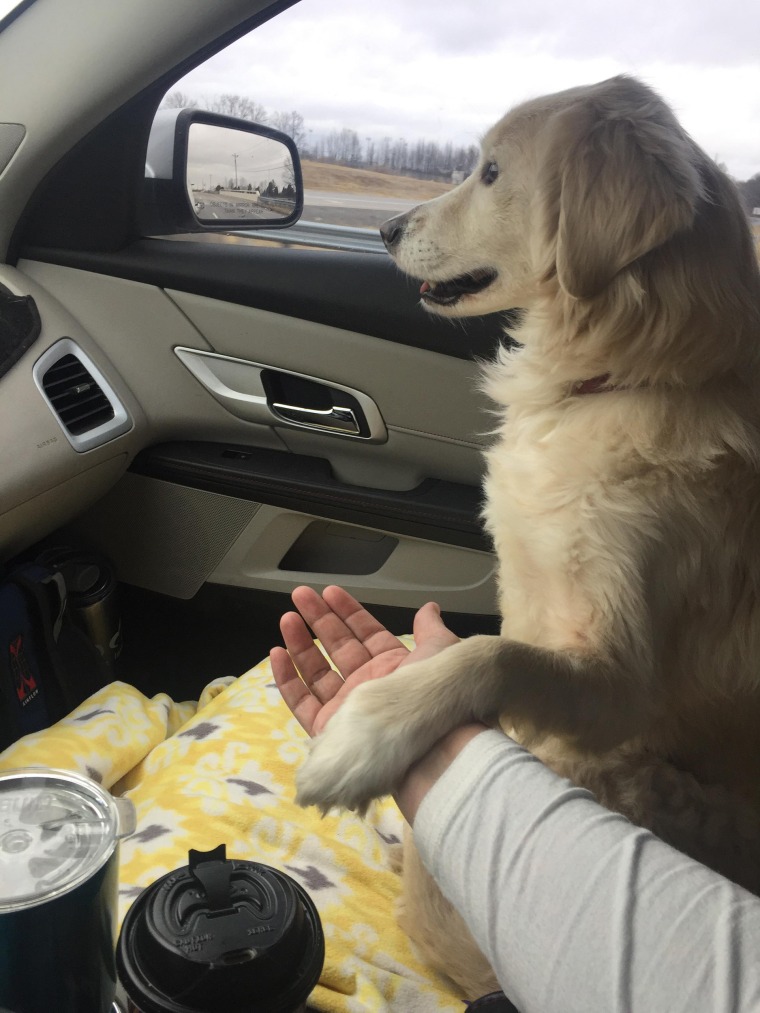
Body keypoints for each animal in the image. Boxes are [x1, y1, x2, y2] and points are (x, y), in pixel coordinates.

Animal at [293, 76, 760, 996]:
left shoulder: (625, 689)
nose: (385, 228)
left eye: (492, 171)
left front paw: (367, 732)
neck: (626, 378)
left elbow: (485, 653)